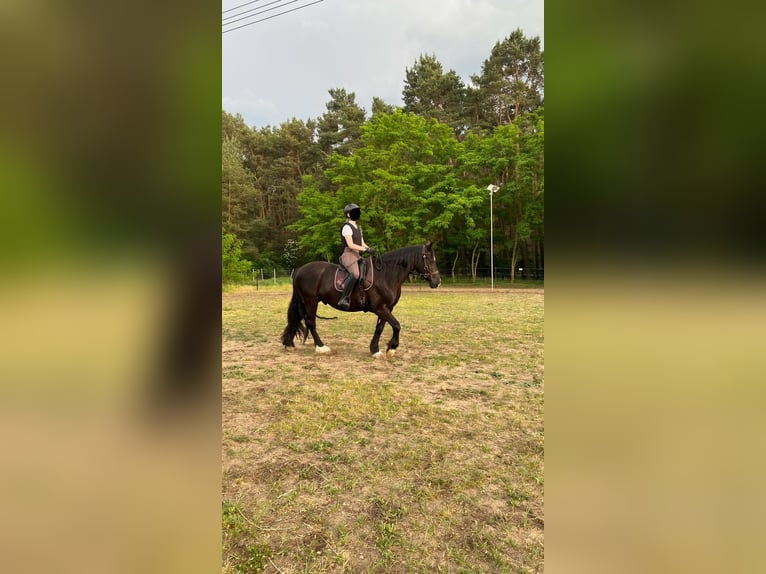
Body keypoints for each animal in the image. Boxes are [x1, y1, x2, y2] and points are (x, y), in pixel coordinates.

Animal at [280, 242, 442, 358]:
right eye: (428, 258)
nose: (437, 282)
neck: (386, 275)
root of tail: (299, 270)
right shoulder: (380, 308)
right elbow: (396, 325)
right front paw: (392, 348)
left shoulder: (387, 308)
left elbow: (380, 328)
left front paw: (375, 349)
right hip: (310, 301)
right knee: (311, 322)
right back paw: (321, 347)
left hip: (305, 301)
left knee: (299, 320)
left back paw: (289, 344)